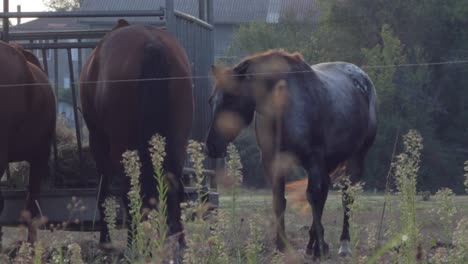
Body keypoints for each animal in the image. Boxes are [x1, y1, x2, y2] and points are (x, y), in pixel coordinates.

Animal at [79, 19, 193, 249]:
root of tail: (151, 44)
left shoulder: (98, 140)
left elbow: (104, 188)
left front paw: (105, 238)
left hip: (122, 146)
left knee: (130, 190)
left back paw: (134, 243)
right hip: (178, 140)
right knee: (173, 186)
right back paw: (179, 241)